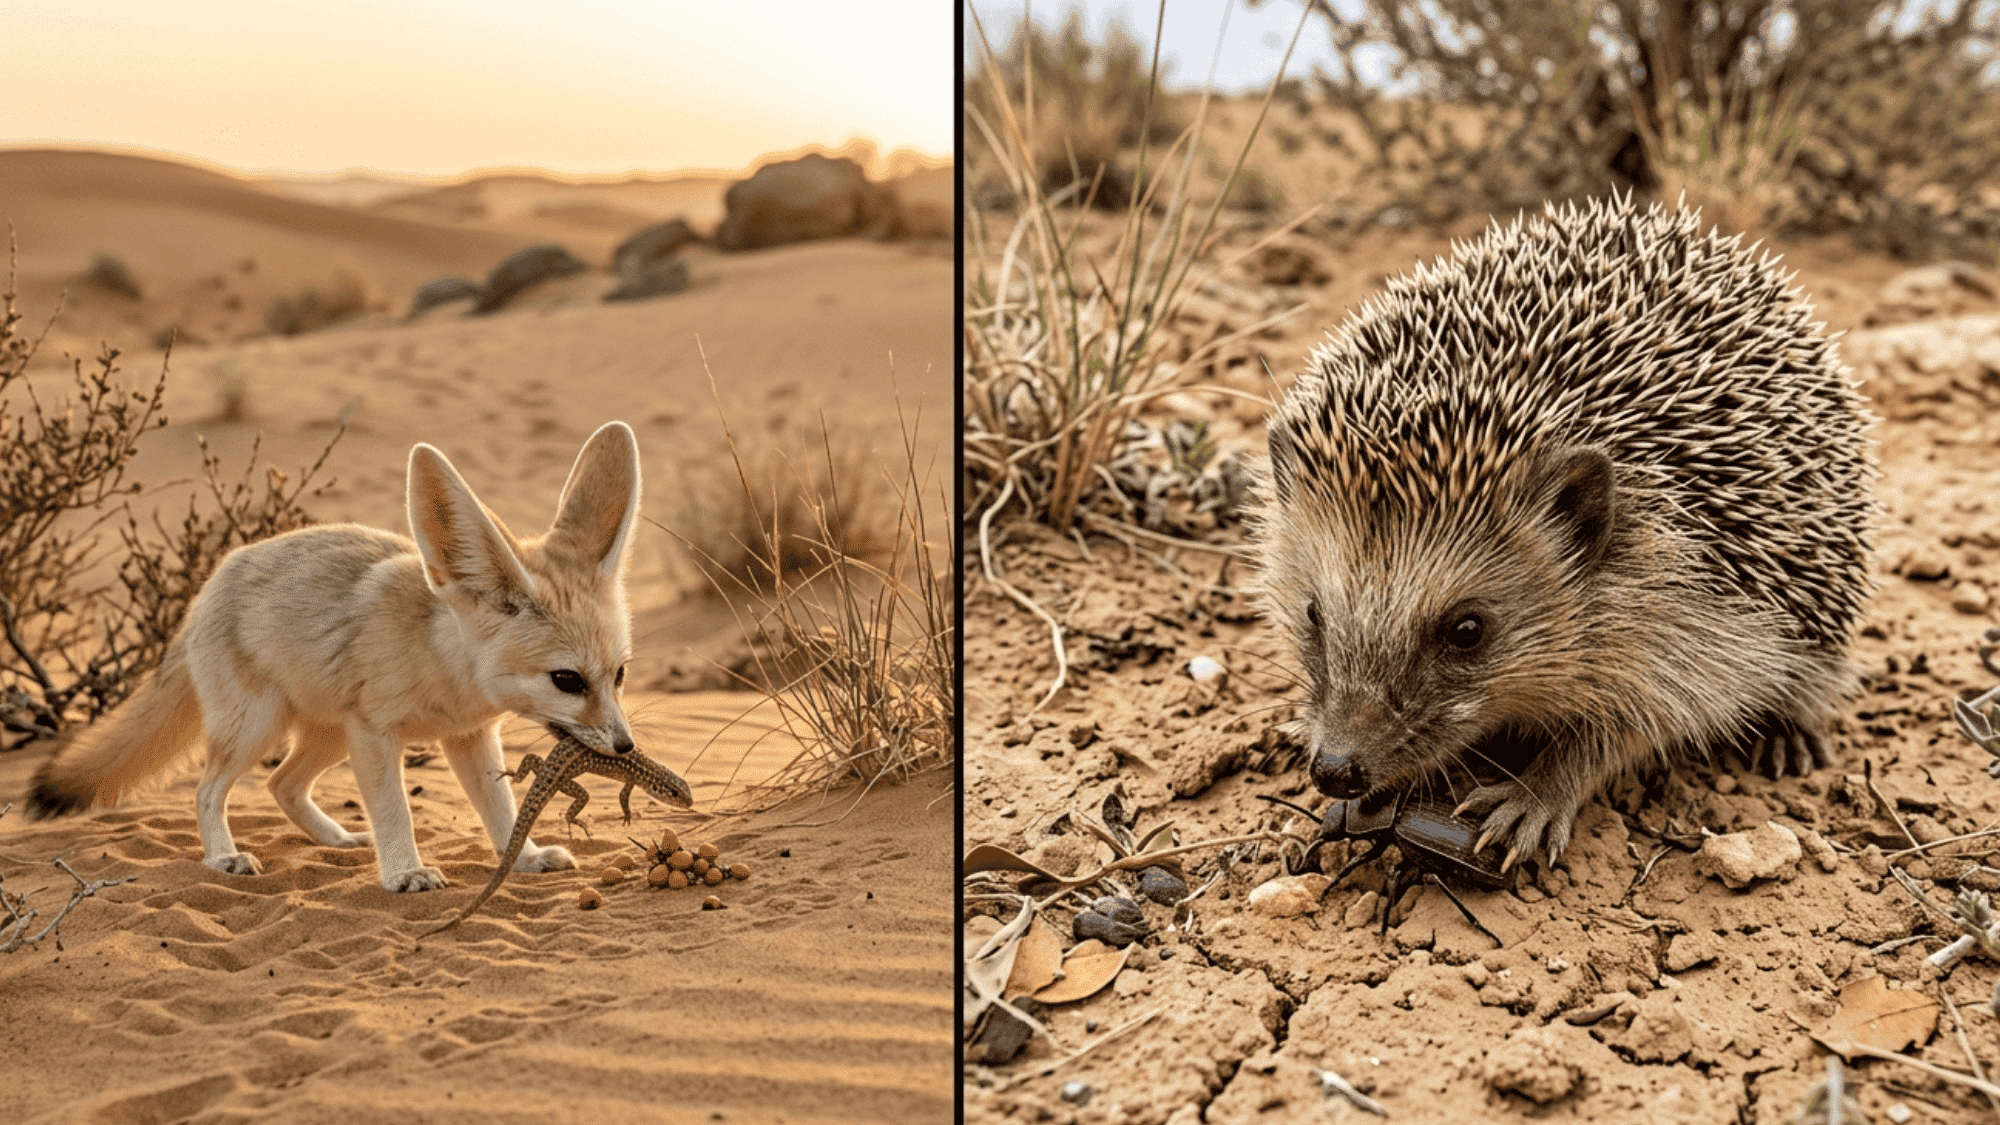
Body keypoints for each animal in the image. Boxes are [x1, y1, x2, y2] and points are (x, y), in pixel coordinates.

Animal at [26, 420, 648, 893]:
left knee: (281, 785)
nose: (626, 747)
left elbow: (501, 805)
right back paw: (223, 857)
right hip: (259, 728)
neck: (444, 668)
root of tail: (205, 589)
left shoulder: (468, 736)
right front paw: (405, 873)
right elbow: (395, 809)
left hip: (324, 736)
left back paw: (337, 839)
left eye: (619, 674)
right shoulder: (375, 734)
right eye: (566, 679)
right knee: (208, 790)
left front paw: (525, 857)